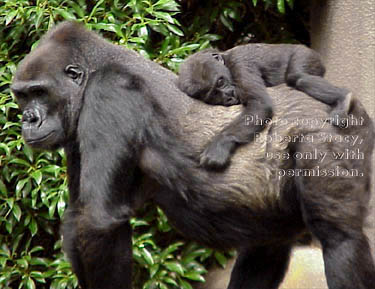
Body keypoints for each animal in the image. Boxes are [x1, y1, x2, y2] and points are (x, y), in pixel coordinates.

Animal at [178, 43, 352, 168]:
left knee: (298, 77)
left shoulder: (240, 64)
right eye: (213, 94)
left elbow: (260, 104)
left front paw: (219, 145)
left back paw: (343, 97)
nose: (227, 96)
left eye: (220, 82)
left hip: (306, 54)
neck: (226, 59)